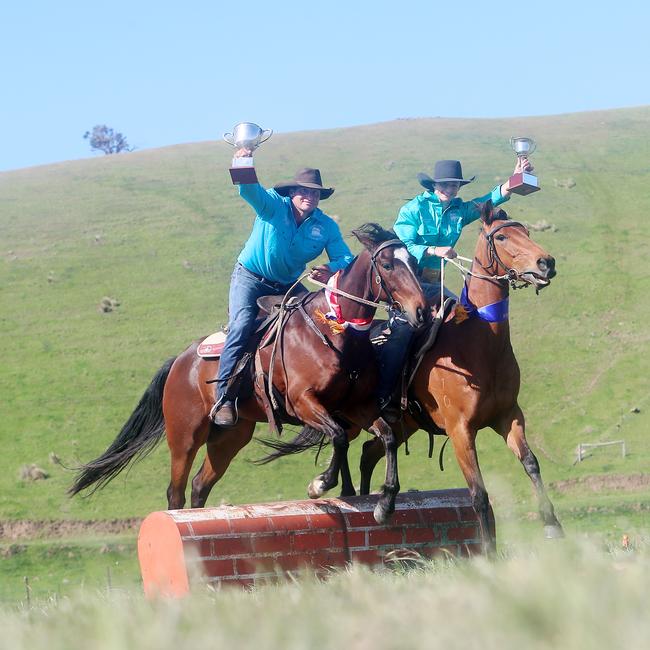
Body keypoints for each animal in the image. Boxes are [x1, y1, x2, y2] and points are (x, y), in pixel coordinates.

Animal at [69, 223, 426, 520]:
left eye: (415, 262)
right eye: (388, 265)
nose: (421, 311)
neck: (335, 330)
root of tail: (180, 361)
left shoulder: (356, 406)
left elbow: (388, 437)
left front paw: (386, 501)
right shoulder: (304, 402)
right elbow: (337, 437)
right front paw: (320, 484)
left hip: (229, 437)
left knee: (199, 485)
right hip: (185, 436)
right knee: (176, 492)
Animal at [264, 205, 560, 548]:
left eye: (526, 232)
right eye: (502, 237)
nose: (546, 263)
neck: (481, 344)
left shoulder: (508, 416)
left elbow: (531, 463)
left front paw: (552, 525)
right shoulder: (461, 430)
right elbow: (479, 494)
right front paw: (488, 548)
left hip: (402, 423)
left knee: (368, 453)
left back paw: (376, 501)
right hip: (349, 417)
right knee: (346, 445)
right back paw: (341, 490)